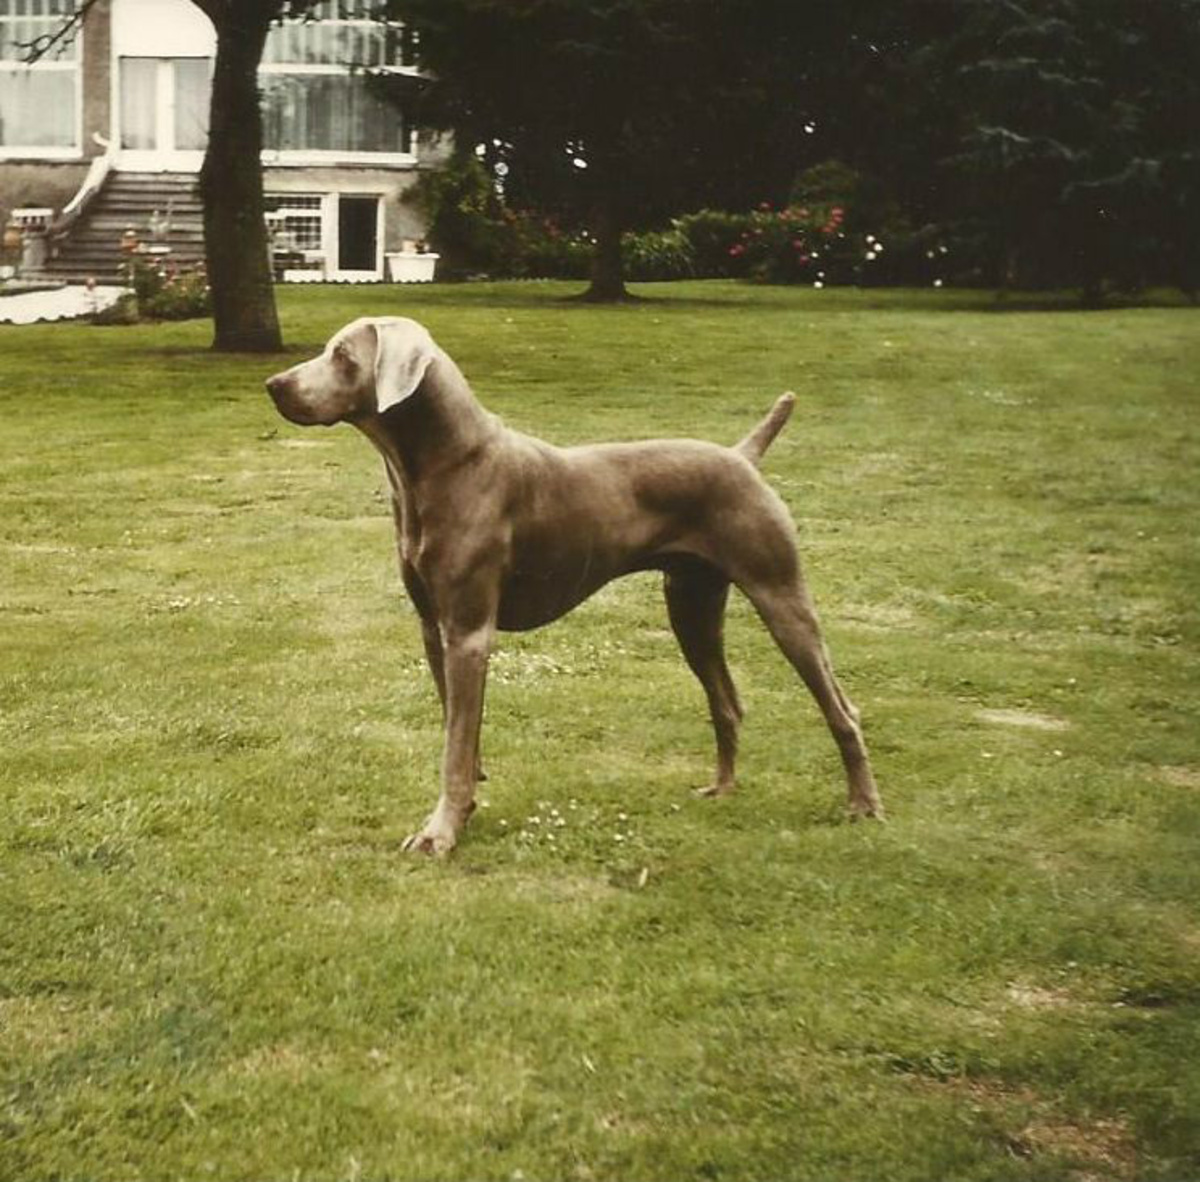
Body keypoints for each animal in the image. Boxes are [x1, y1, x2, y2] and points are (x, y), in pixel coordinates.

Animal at [265, 314, 883, 849]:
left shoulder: (469, 632)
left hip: (781, 597)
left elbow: (453, 749)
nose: (274, 384)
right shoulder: (431, 628)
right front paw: (464, 810)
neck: (444, 464)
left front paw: (440, 834)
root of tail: (742, 456)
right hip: (692, 606)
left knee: (842, 710)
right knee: (727, 702)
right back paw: (723, 788)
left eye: (342, 355)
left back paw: (863, 805)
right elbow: (458, 735)